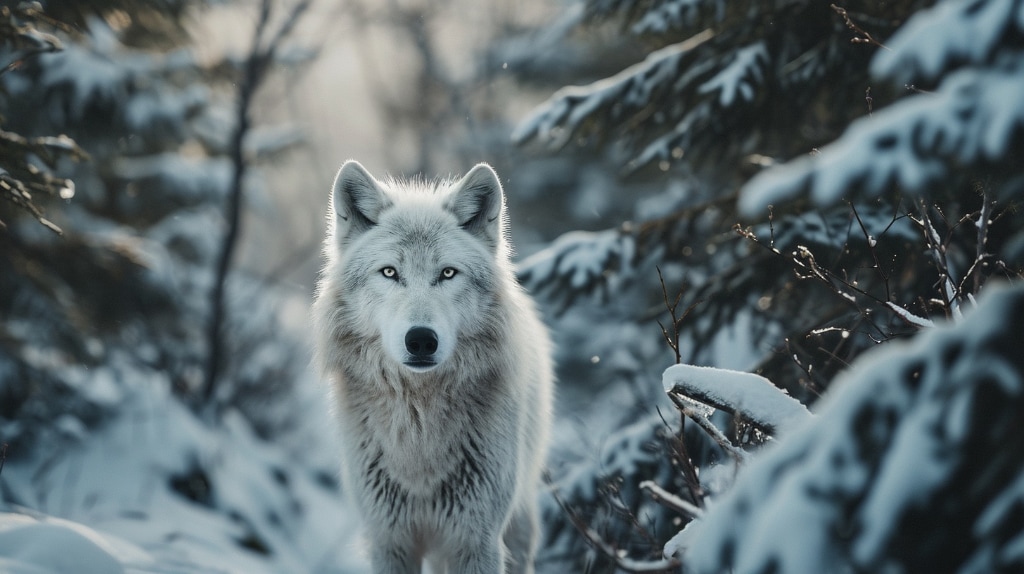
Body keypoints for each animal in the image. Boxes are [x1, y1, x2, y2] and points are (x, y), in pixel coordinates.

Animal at [312, 160, 554, 574]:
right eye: (390, 272)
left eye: (448, 273)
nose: (422, 340)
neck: (418, 421)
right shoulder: (389, 540)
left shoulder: (476, 540)